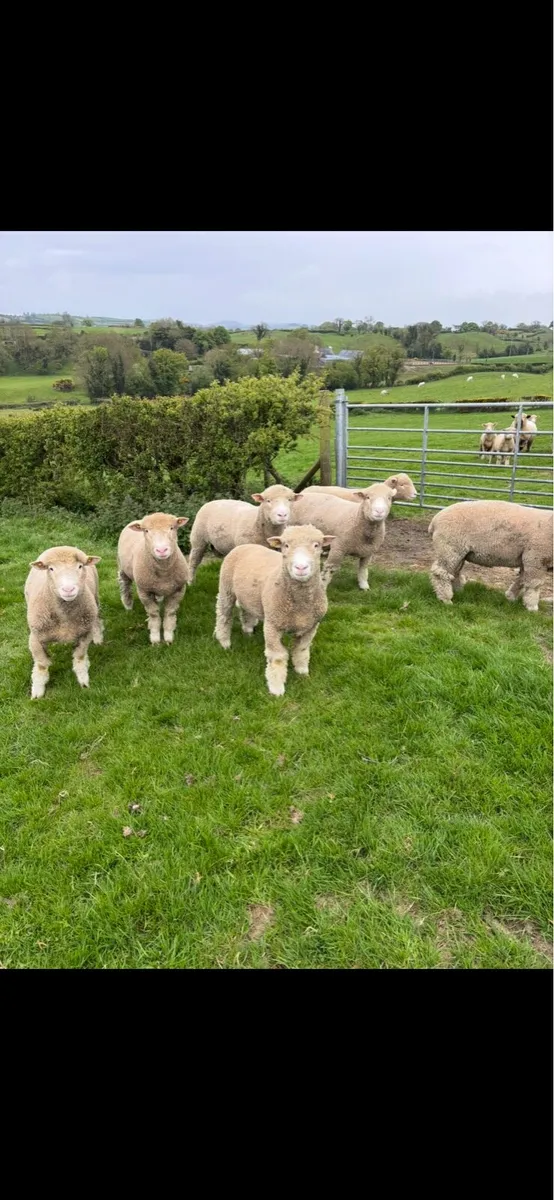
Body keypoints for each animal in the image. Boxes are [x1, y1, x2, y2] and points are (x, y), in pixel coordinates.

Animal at [24, 546, 103, 699]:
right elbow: (42, 664)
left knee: (97, 618)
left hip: (95, 598)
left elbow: (79, 656)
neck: (64, 618)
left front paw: (83, 680)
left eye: (80, 566)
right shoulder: (35, 638)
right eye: (51, 568)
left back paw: (98, 637)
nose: (68, 589)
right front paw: (38, 690)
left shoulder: (85, 633)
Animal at [117, 512, 189, 644]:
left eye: (172, 528)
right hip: (122, 567)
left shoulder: (179, 590)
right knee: (125, 584)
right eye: (146, 530)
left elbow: (169, 612)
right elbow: (153, 613)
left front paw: (168, 635)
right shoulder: (144, 592)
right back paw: (128, 605)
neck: (163, 572)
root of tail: (137, 520)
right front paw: (155, 637)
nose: (161, 550)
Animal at [214, 524, 334, 696]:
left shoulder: (311, 626)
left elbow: (301, 649)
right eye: (286, 545)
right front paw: (276, 688)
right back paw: (224, 641)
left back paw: (248, 630)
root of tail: (245, 545)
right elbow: (277, 657)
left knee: (246, 611)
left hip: (249, 595)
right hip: (226, 588)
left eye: (316, 545)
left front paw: (302, 671)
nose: (301, 567)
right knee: (223, 614)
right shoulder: (272, 625)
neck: (300, 606)